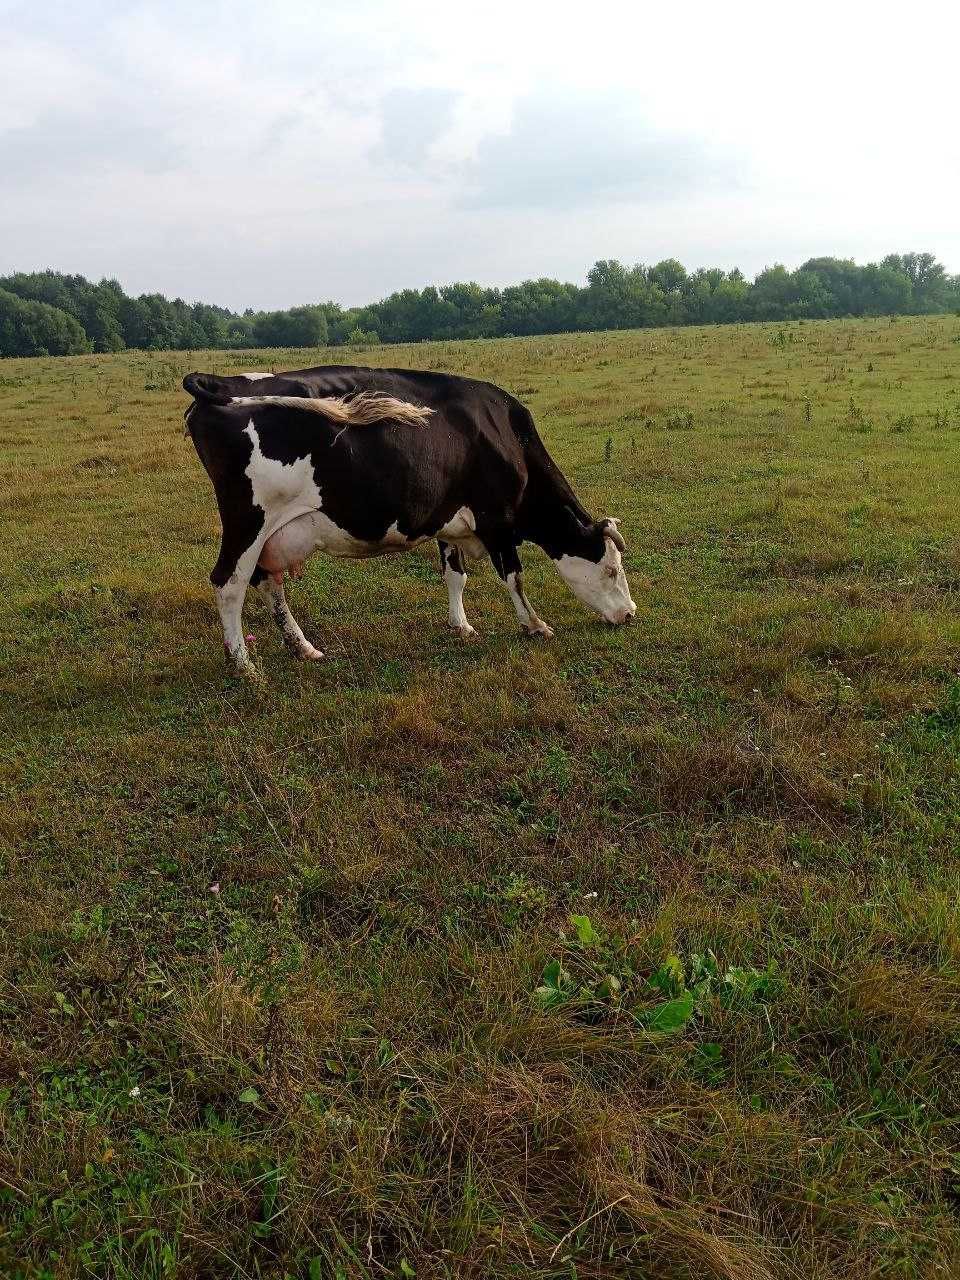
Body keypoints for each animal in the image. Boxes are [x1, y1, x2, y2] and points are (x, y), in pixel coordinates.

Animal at [184, 366, 640, 675]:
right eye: (612, 570)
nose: (630, 614)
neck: (504, 431)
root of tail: (220, 383)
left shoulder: (449, 521)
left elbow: (455, 576)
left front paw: (461, 625)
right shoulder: (496, 520)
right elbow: (514, 577)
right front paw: (534, 625)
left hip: (271, 533)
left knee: (269, 583)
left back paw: (303, 649)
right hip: (248, 520)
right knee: (229, 583)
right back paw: (244, 665)